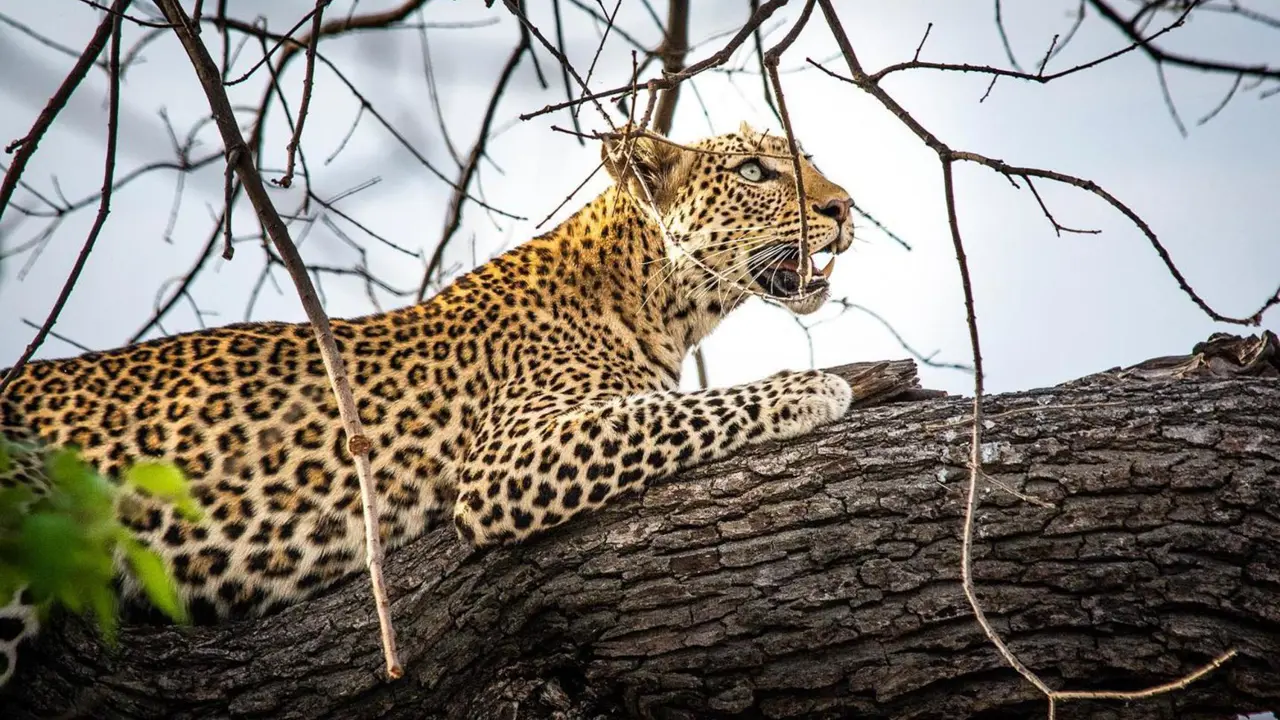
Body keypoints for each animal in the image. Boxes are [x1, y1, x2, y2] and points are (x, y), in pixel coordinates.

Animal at [0, 122, 858, 687]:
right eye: (756, 172)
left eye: (808, 161)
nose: (846, 207)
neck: (655, 300)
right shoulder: (509, 457)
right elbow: (679, 410)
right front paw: (816, 386)